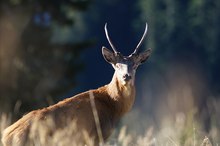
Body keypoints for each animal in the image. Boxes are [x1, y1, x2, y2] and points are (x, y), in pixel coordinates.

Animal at [1, 22, 151, 146]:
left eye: (135, 65)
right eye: (116, 65)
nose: (127, 76)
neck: (112, 105)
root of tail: (6, 136)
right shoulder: (94, 136)